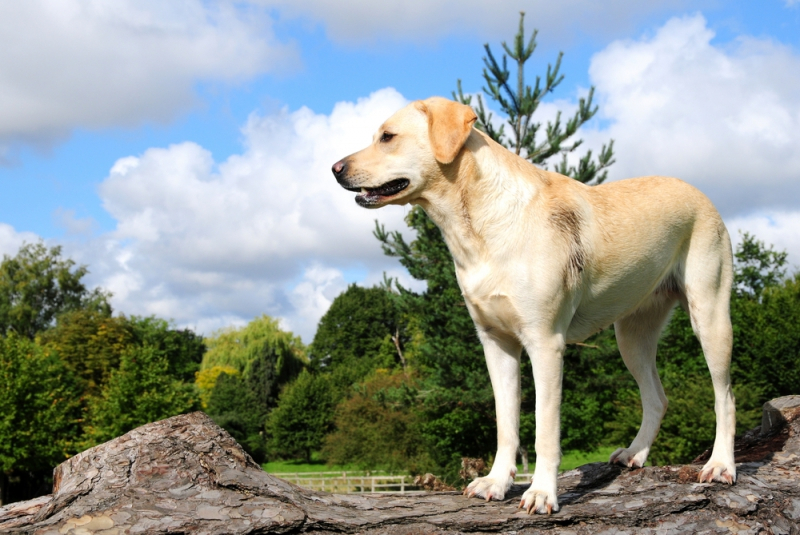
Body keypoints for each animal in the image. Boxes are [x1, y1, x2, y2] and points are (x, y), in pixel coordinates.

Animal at [332, 96, 736, 516]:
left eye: (388, 136)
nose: (335, 169)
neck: (478, 222)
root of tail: (699, 193)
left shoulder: (545, 344)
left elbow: (544, 430)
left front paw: (542, 493)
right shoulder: (497, 344)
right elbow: (506, 423)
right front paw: (496, 482)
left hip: (710, 318)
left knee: (725, 397)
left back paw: (721, 466)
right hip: (632, 337)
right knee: (657, 398)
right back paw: (635, 454)